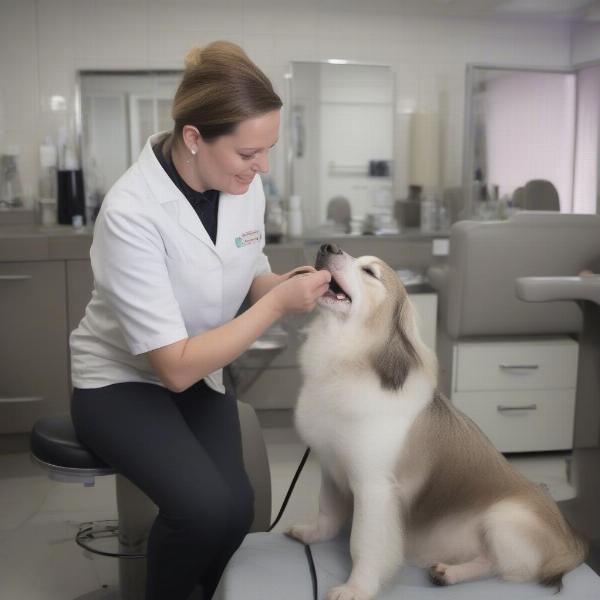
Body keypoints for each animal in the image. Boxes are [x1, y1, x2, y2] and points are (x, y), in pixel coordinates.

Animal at [286, 244, 584, 600]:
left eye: (370, 272)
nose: (327, 246)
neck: (347, 364)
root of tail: (571, 542)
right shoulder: (332, 466)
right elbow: (327, 513)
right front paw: (313, 533)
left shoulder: (374, 488)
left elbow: (365, 545)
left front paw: (357, 587)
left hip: (503, 518)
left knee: (503, 567)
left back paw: (452, 573)